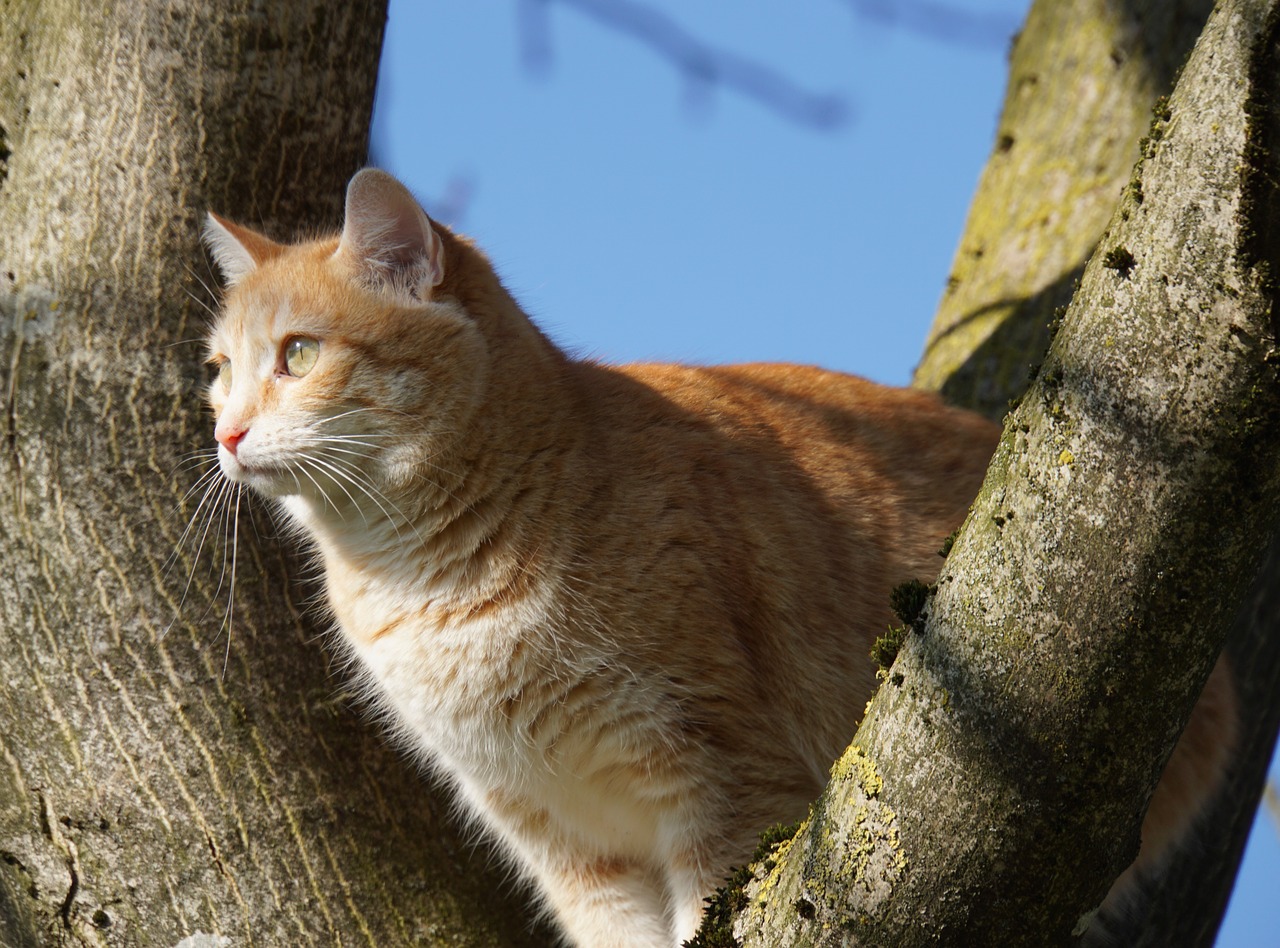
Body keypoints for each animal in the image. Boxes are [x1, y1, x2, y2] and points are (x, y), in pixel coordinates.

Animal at [202, 170, 1239, 946]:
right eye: (219, 369)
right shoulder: (564, 842)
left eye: (299, 355)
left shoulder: (724, 777)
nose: (225, 433)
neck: (425, 580)